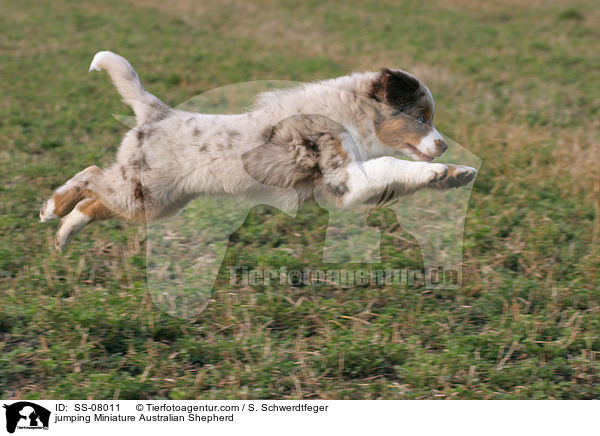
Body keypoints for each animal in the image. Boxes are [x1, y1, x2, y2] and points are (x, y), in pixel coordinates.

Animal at [39, 51, 476, 250]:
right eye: (421, 118)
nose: (443, 144)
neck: (353, 113)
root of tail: (157, 113)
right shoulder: (344, 177)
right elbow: (392, 162)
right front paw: (440, 172)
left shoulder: (352, 183)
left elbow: (393, 172)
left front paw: (457, 174)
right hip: (141, 191)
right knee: (91, 176)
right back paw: (51, 208)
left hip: (155, 202)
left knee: (94, 203)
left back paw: (62, 235)